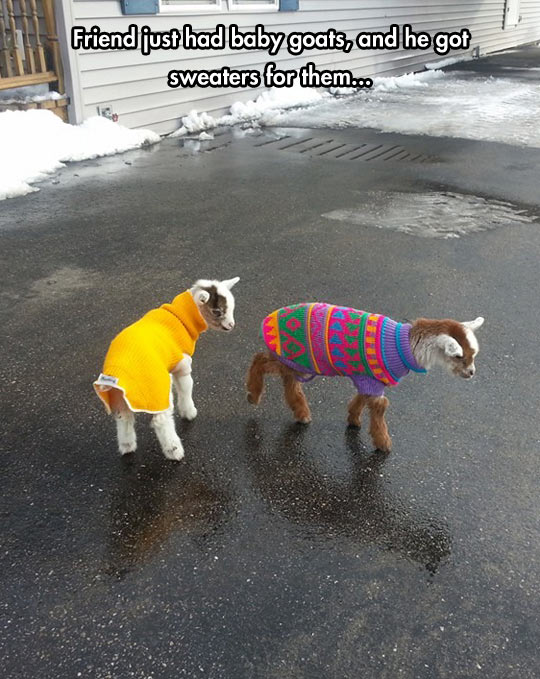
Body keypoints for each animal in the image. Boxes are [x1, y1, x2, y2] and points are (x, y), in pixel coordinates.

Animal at [94, 278, 239, 462]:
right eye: (217, 311)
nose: (232, 325)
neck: (182, 315)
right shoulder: (182, 364)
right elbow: (186, 388)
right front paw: (189, 412)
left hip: (117, 394)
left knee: (124, 417)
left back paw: (127, 446)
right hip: (157, 387)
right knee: (161, 420)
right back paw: (174, 451)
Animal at [247, 306, 484, 454]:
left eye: (474, 354)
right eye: (458, 356)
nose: (471, 372)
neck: (404, 345)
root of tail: (269, 319)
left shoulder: (368, 377)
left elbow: (362, 398)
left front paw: (353, 419)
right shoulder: (373, 379)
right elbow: (380, 407)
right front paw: (383, 443)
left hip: (297, 362)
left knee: (289, 380)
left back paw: (301, 412)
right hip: (296, 356)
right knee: (261, 360)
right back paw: (253, 394)